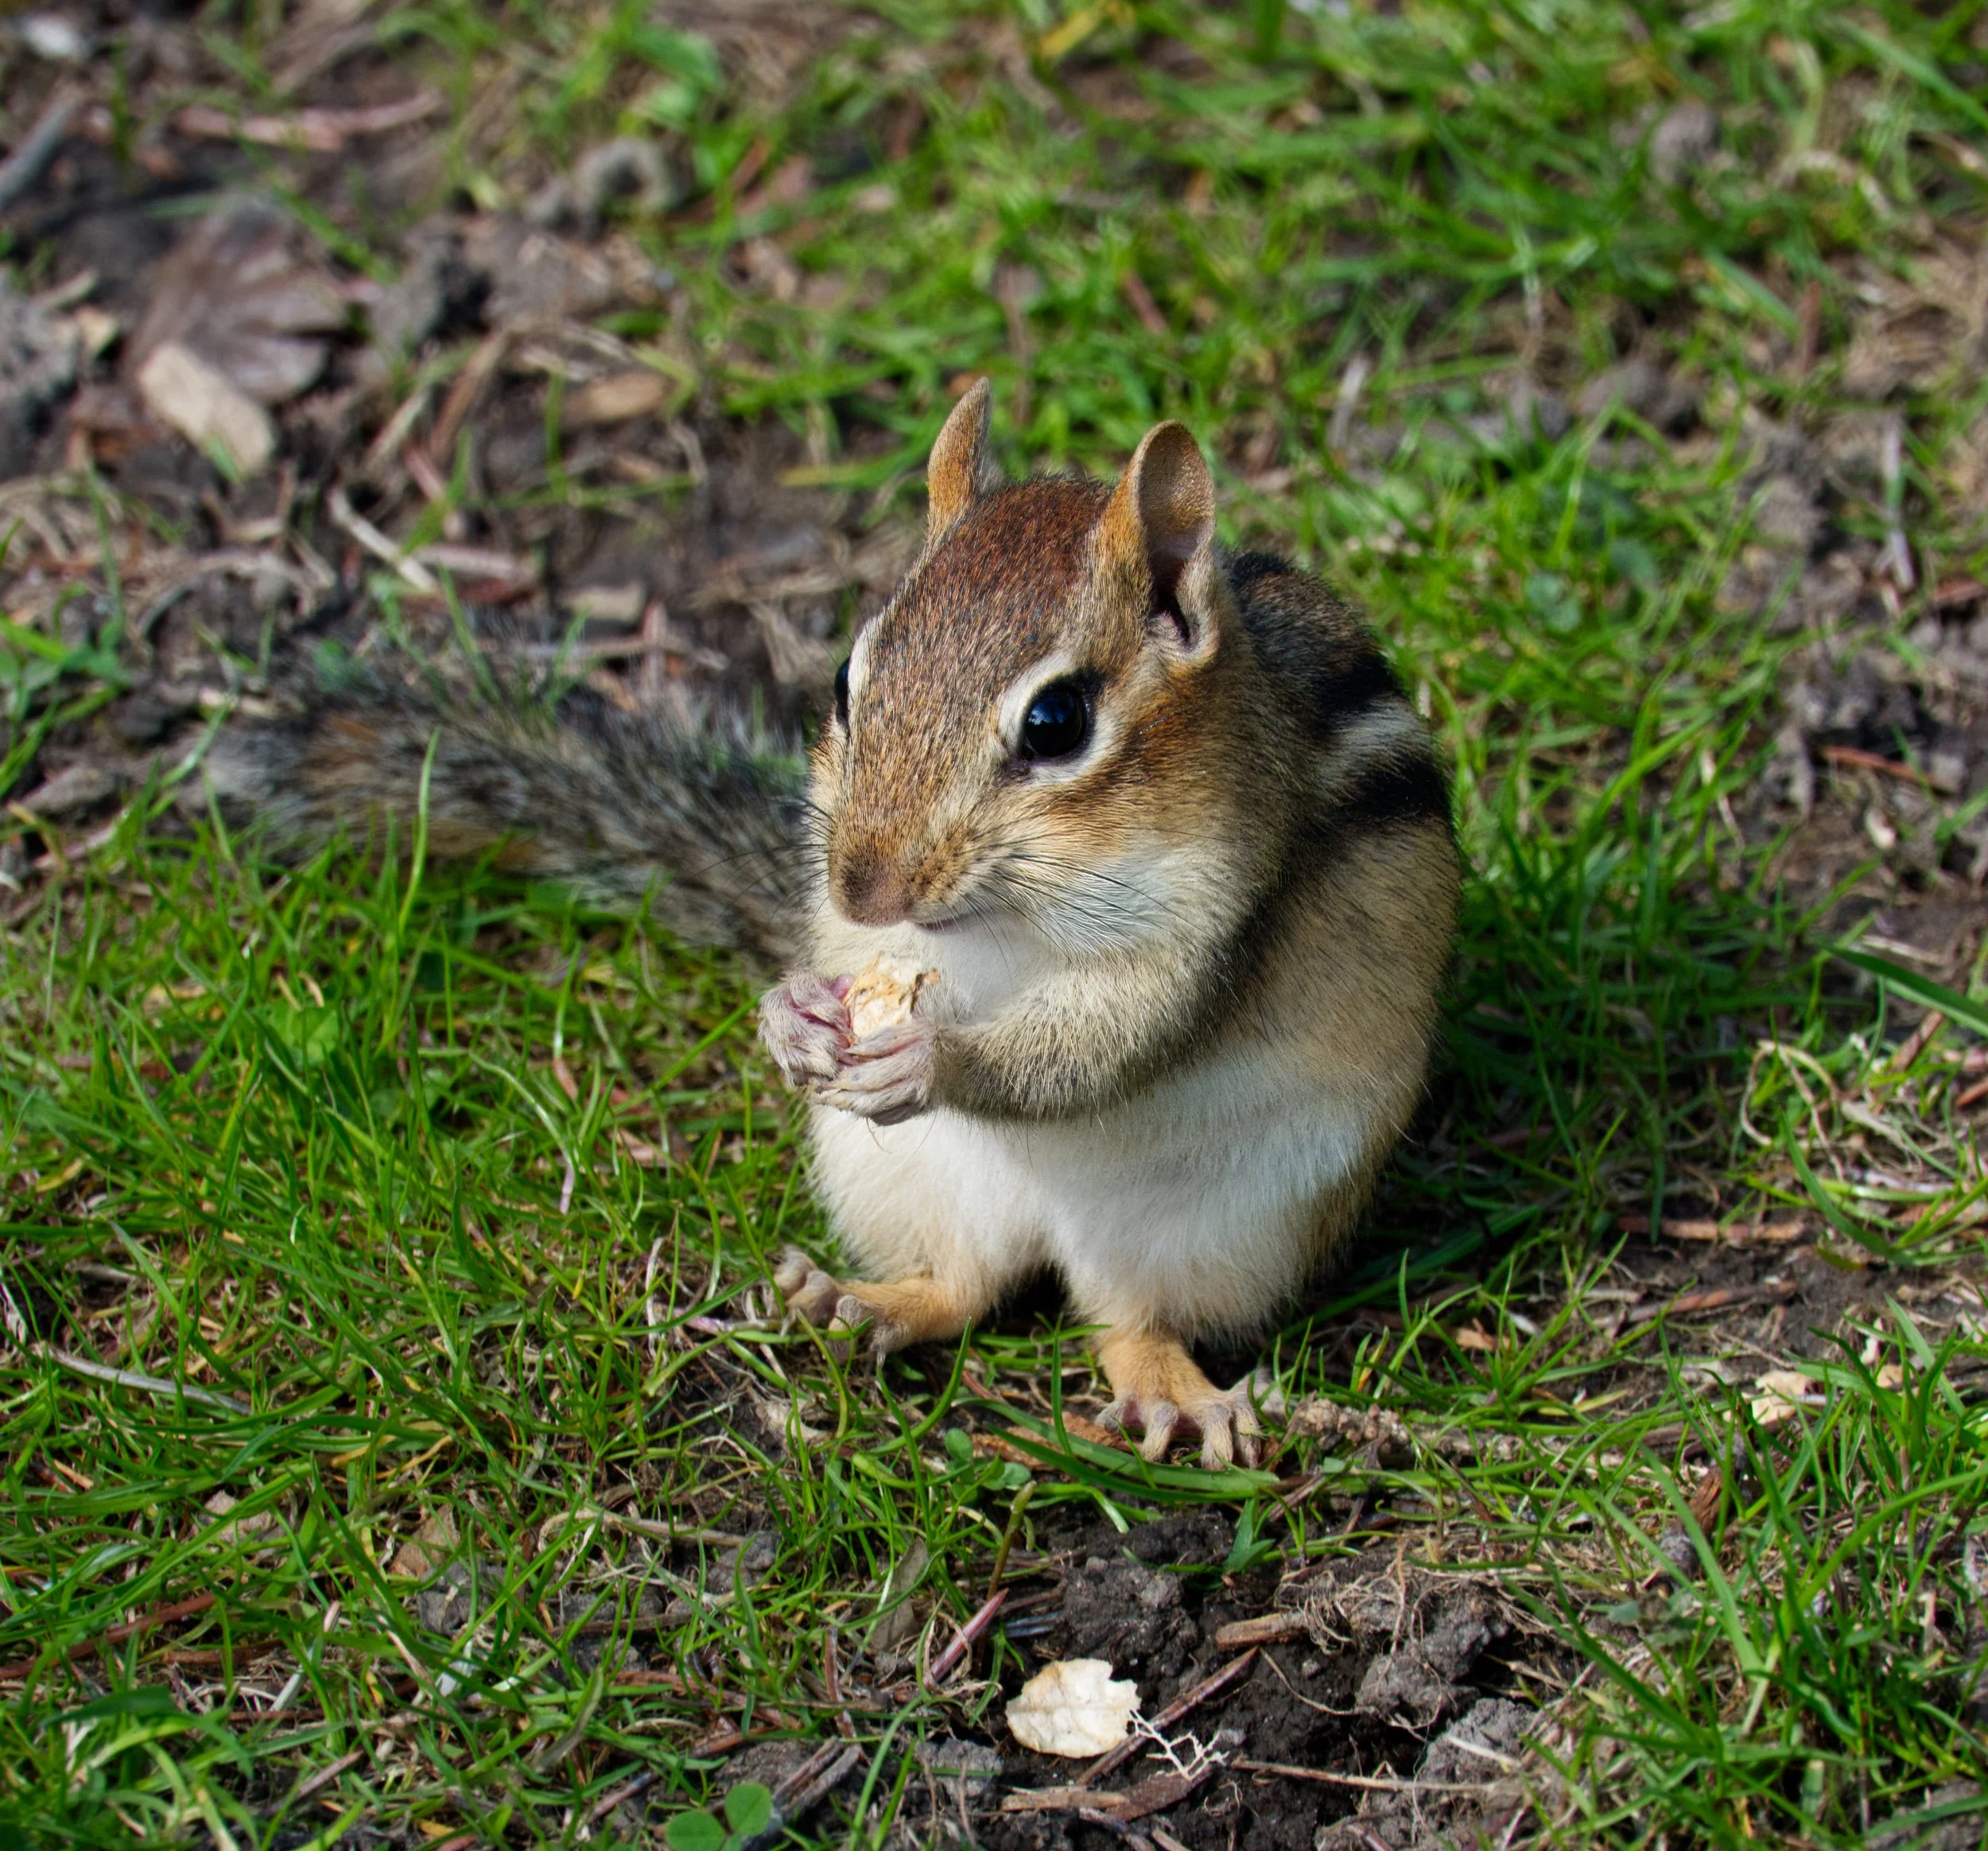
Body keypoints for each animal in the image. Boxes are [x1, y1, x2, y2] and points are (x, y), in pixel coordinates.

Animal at [208, 381, 1458, 1469]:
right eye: (848, 685)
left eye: (1057, 722)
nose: (865, 888)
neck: (995, 931)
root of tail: (1057, 1238)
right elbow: (839, 964)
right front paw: (791, 1014)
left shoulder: (1206, 928)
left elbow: (1102, 1046)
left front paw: (933, 1057)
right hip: (891, 1176)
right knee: (964, 1288)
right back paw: (858, 1301)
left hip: (1229, 1221)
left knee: (1129, 1323)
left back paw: (1169, 1390)